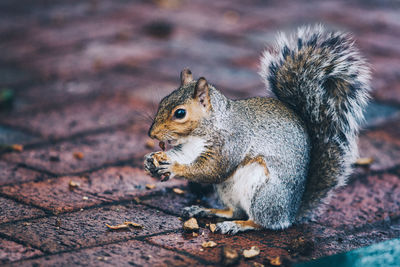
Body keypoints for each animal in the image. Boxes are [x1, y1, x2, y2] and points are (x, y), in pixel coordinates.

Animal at [144, 25, 372, 234]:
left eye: (180, 113)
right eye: (162, 101)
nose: (152, 134)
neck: (203, 131)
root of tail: (291, 212)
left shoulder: (232, 141)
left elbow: (213, 169)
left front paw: (174, 168)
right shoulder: (189, 148)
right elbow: (183, 156)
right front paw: (151, 160)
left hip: (264, 193)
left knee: (262, 222)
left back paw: (237, 225)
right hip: (227, 188)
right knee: (235, 210)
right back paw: (206, 210)